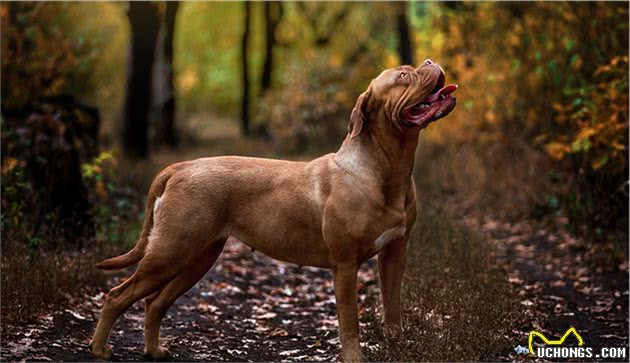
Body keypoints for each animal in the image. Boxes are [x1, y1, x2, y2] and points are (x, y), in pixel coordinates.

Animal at [91, 60, 460, 362]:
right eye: (403, 76)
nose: (430, 61)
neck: (386, 170)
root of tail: (180, 167)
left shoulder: (395, 253)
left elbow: (392, 307)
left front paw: (396, 345)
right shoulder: (345, 265)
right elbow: (349, 320)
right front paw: (355, 356)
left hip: (197, 257)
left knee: (154, 302)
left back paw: (153, 350)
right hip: (170, 251)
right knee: (117, 295)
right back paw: (99, 348)